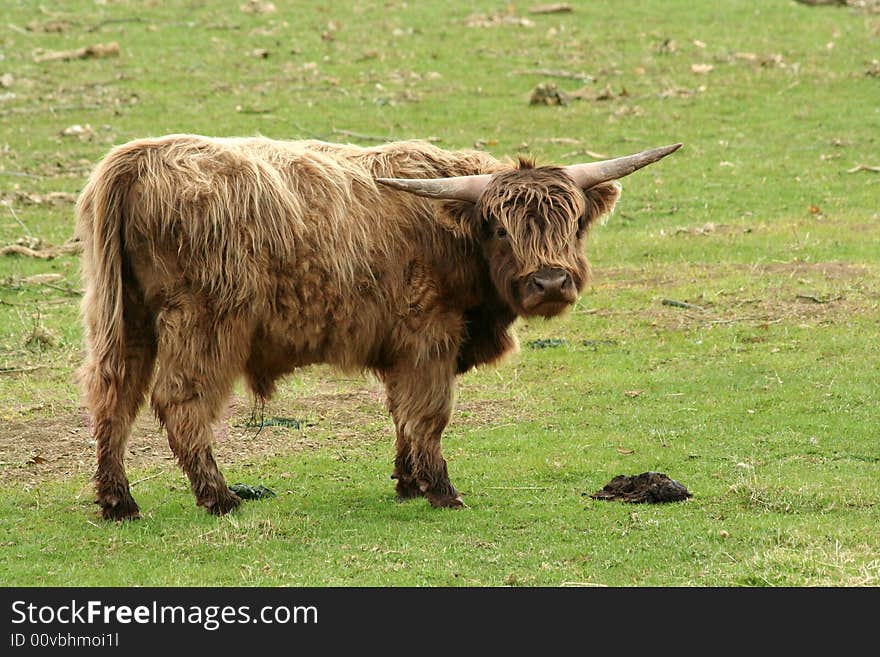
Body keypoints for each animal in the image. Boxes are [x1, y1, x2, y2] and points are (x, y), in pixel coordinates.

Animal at [77, 136, 680, 520]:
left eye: (573, 221)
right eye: (500, 229)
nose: (551, 282)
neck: (451, 233)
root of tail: (138, 158)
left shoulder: (403, 350)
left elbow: (401, 414)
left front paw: (408, 482)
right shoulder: (430, 338)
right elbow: (428, 413)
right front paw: (441, 490)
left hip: (123, 319)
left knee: (113, 397)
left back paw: (118, 502)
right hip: (204, 323)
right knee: (180, 402)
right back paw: (219, 497)